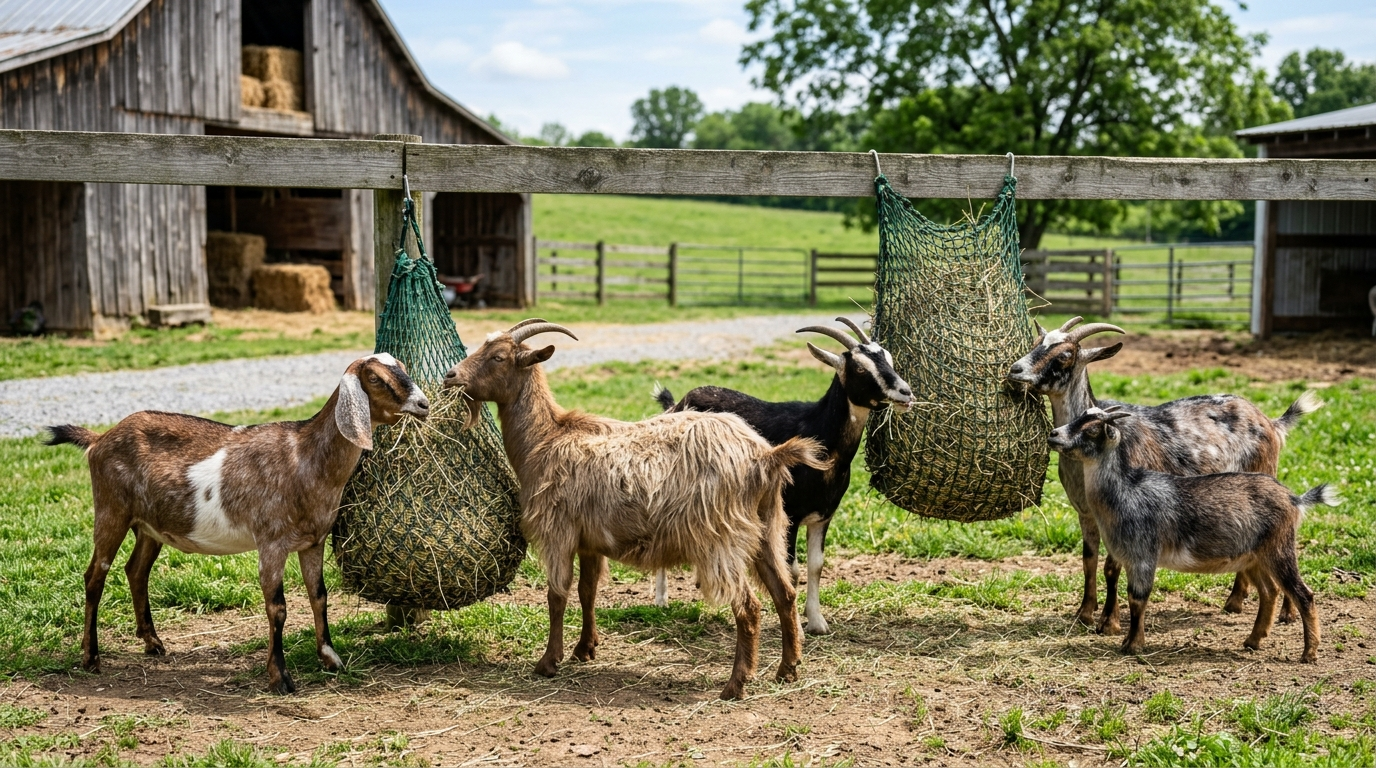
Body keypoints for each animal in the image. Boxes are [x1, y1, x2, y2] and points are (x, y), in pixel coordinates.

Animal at [48, 354, 429, 694]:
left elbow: (318, 596)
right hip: (111, 510)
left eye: (403, 368)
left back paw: (153, 643)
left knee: (136, 571)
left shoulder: (313, 541)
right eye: (375, 378)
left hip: (149, 525)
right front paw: (280, 678)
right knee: (95, 575)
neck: (304, 458)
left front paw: (331, 658)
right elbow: (278, 608)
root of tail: (99, 439)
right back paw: (91, 657)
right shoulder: (272, 542)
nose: (423, 404)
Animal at [443, 320, 830, 700]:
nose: (450, 376)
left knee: (748, 606)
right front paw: (585, 649)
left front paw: (548, 662)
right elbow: (587, 590)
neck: (546, 438)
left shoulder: (558, 531)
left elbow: (557, 595)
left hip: (721, 539)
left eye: (498, 357)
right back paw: (788, 670)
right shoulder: (589, 540)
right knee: (784, 594)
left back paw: (735, 685)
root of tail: (764, 456)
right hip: (768, 529)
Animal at [651, 317, 913, 634]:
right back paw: (661, 600)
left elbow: (816, 565)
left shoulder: (824, 515)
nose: (905, 393)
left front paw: (817, 622)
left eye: (888, 358)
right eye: (860, 368)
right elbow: (792, 570)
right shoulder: (789, 513)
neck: (818, 433)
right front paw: (796, 625)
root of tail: (678, 404)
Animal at [1007, 317, 1320, 633]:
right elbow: (1089, 561)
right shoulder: (1086, 513)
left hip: (1264, 474)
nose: (1015, 370)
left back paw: (1285, 611)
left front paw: (1109, 621)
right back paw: (1235, 602)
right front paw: (1084, 613)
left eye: (1065, 355)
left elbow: (1111, 566)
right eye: (1035, 343)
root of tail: (1271, 422)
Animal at [1048, 407, 1334, 661]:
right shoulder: (1129, 558)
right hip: (1254, 557)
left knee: (1303, 594)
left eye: (1092, 430)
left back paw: (1309, 653)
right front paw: (1128, 640)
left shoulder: (1143, 555)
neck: (1124, 493)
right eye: (1079, 417)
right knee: (1269, 591)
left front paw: (1133, 645)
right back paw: (1253, 641)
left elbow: (1138, 599)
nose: (1053, 434)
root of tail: (1295, 499)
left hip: (1279, 550)